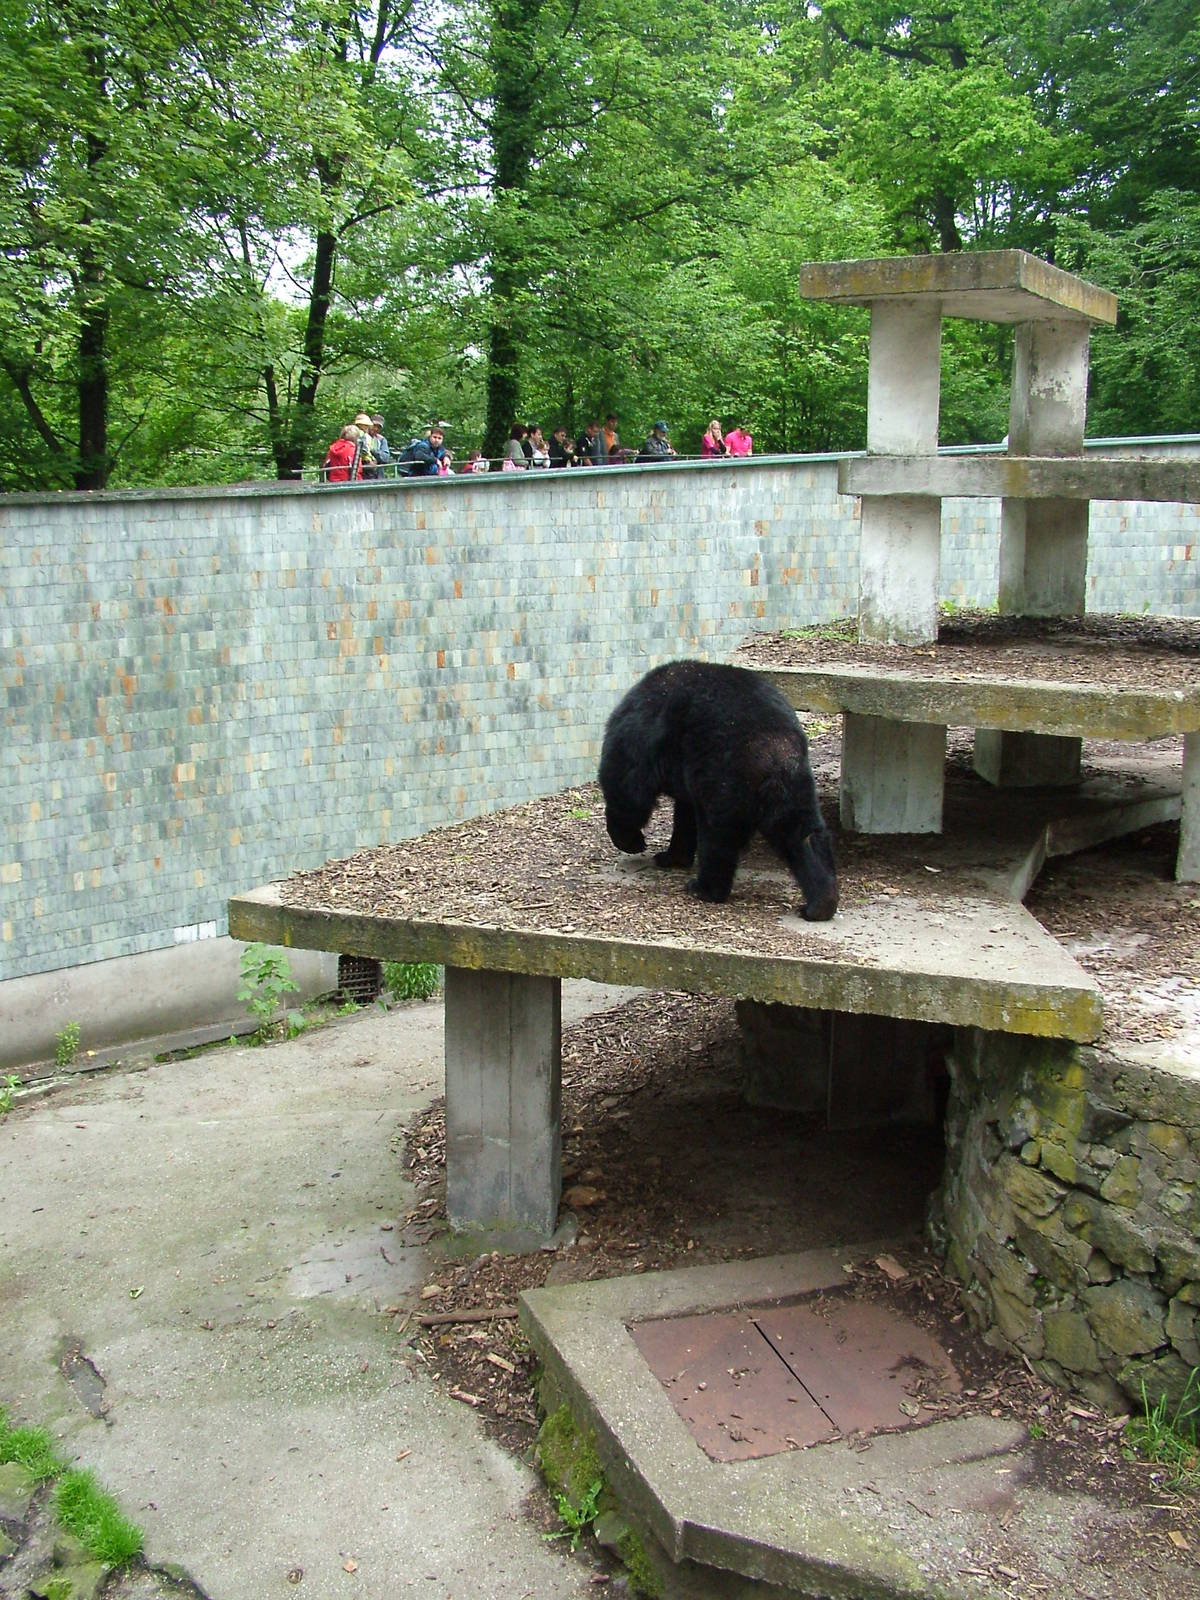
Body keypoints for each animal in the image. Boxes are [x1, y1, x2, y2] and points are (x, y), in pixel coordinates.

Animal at [598, 660, 839, 921]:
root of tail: (775, 751)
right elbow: (685, 813)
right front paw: (672, 856)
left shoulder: (642, 736)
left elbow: (629, 789)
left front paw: (630, 840)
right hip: (792, 784)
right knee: (801, 832)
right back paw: (821, 903)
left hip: (724, 776)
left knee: (718, 835)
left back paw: (704, 888)